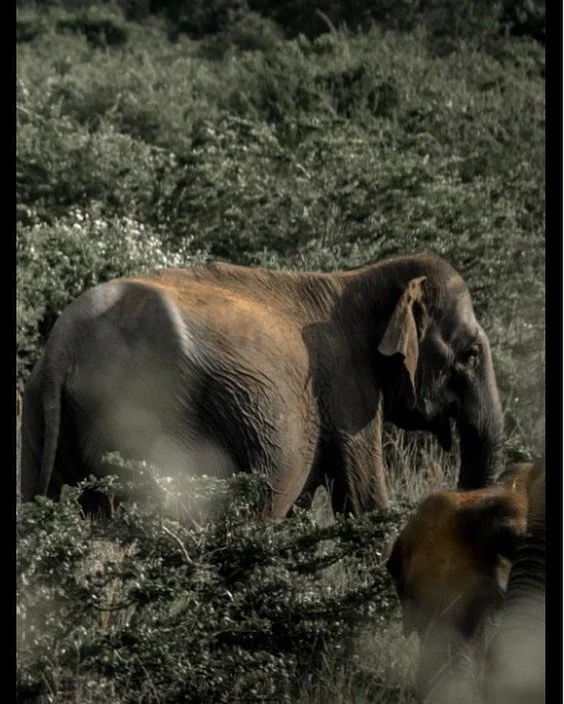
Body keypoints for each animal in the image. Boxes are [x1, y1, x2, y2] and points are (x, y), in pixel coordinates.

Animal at [21, 253, 504, 517]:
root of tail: (63, 343)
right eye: (469, 355)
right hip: (142, 411)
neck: (364, 277)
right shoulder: (345, 385)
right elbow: (364, 500)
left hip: (37, 413)